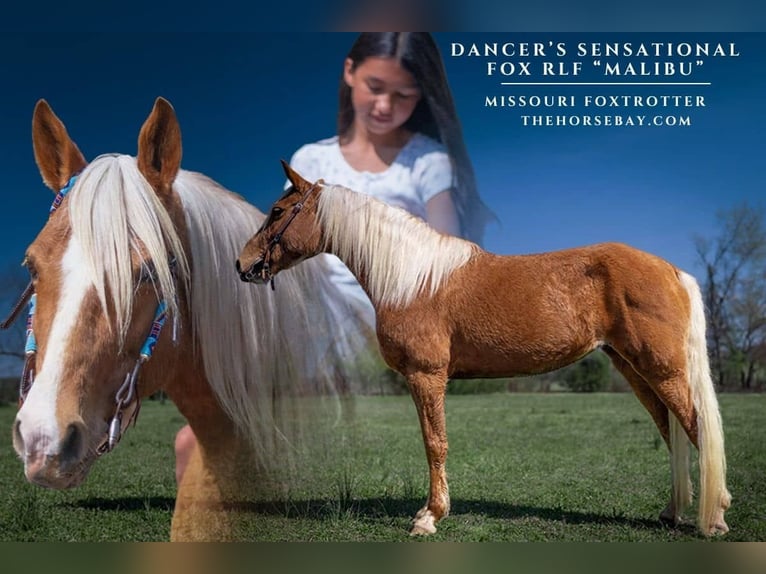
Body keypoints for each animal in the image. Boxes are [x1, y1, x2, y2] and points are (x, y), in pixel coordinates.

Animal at [236, 161, 732, 538]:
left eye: (277, 211)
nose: (242, 265)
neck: (411, 279)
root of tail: (671, 270)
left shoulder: (426, 375)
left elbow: (434, 443)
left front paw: (428, 517)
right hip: (635, 369)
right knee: (670, 431)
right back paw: (673, 512)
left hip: (663, 370)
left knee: (695, 428)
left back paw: (716, 518)